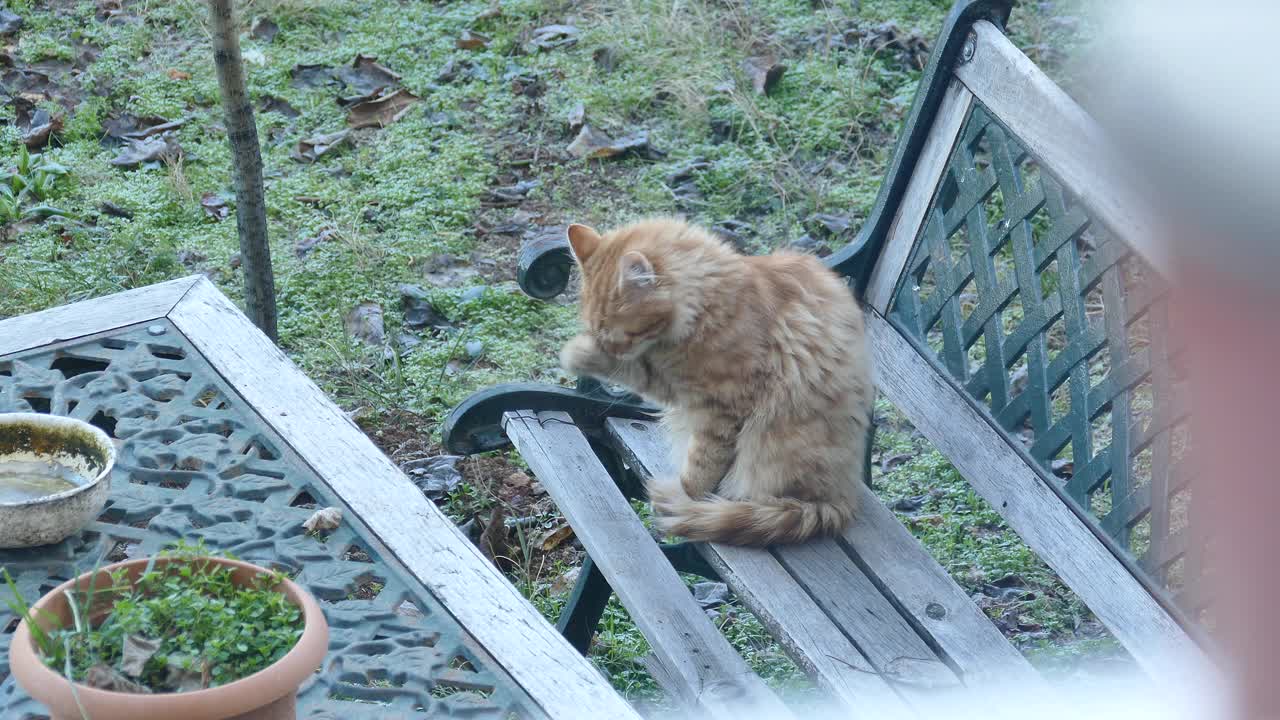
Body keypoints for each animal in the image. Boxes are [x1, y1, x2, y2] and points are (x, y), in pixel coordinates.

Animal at [563, 219, 875, 543]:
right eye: (599, 333)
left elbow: (701, 465)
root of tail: (844, 497)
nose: (612, 350)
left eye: (622, 336)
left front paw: (686, 498)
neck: (710, 304)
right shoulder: (675, 386)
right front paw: (582, 353)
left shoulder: (722, 407)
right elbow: (637, 374)